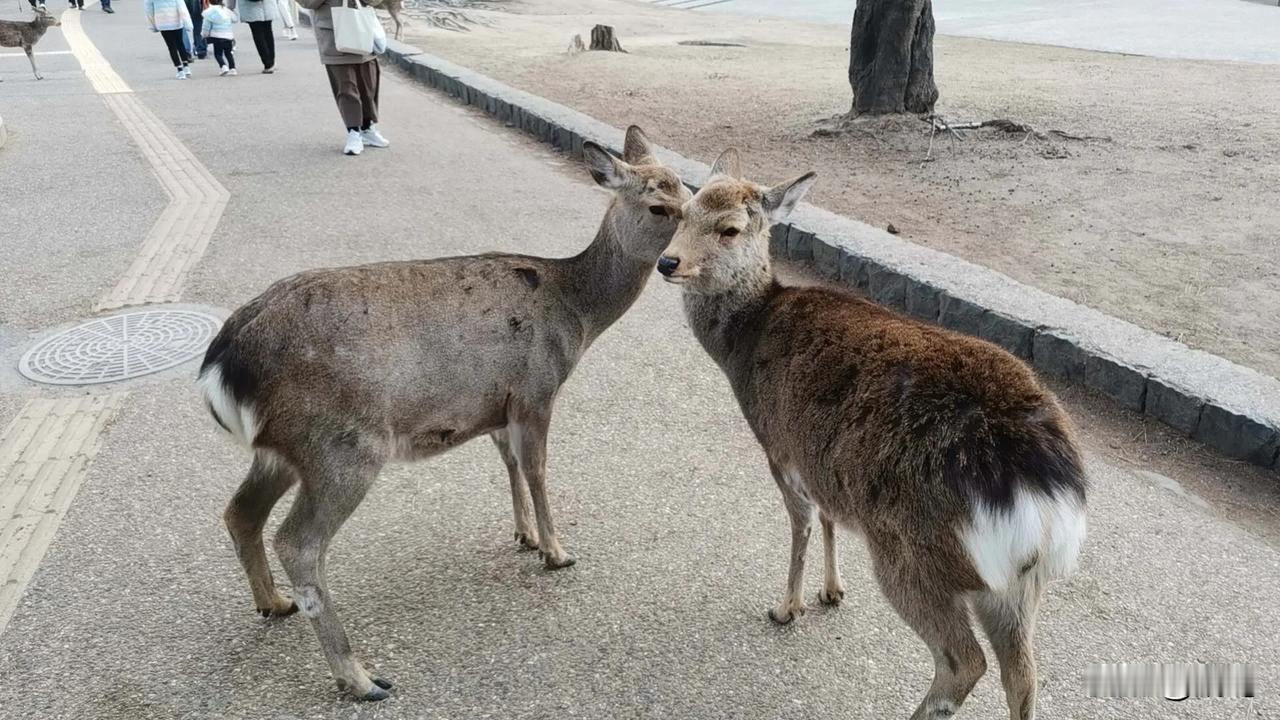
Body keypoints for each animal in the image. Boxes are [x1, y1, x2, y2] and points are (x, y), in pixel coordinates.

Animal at [200, 126, 696, 696]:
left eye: (688, 192)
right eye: (661, 207)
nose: (679, 261)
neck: (576, 315)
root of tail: (223, 362)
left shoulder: (497, 404)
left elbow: (508, 463)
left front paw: (525, 535)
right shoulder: (536, 387)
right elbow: (538, 468)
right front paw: (557, 550)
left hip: (281, 447)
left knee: (240, 512)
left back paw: (273, 603)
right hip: (340, 444)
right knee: (298, 543)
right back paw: (360, 677)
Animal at [660, 147, 1090, 717]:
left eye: (730, 229)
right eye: (682, 213)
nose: (668, 262)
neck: (742, 347)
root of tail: (1044, 490)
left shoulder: (779, 447)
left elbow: (800, 526)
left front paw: (786, 608)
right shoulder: (820, 462)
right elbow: (828, 518)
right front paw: (832, 591)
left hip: (909, 555)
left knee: (964, 661)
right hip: (1017, 585)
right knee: (1023, 673)